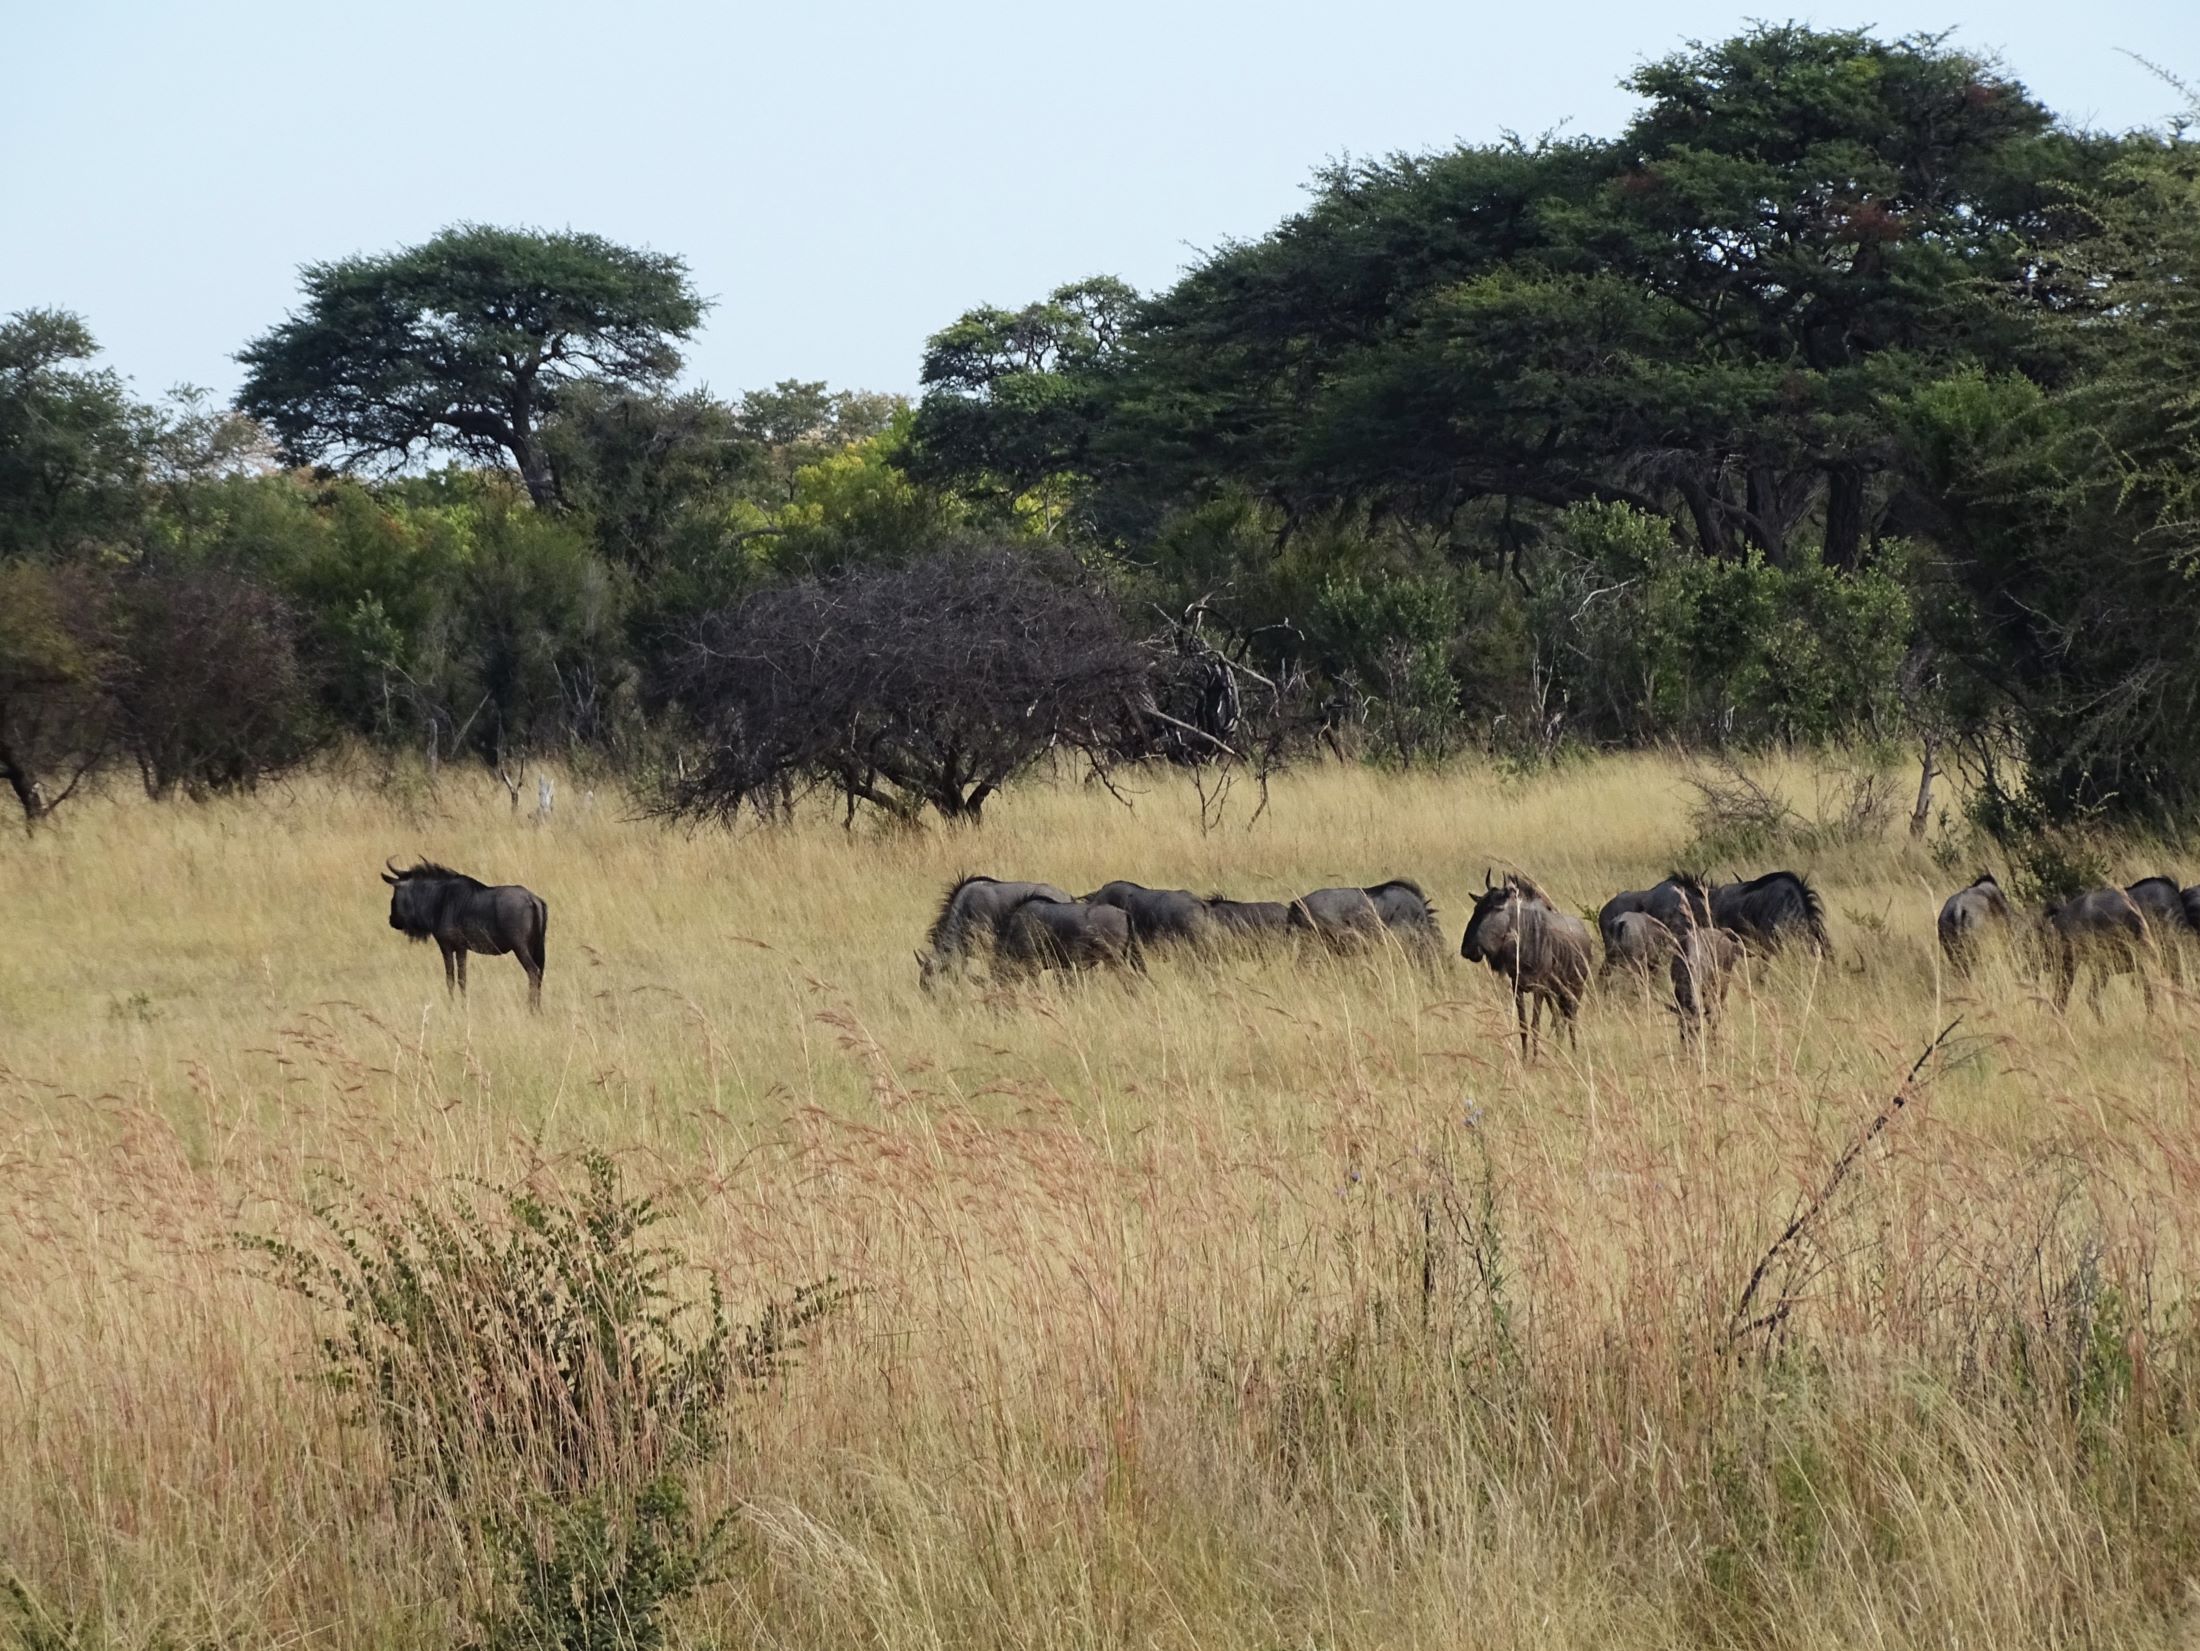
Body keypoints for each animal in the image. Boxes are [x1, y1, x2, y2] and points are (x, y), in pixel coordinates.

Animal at [382, 867, 545, 1008]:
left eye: (394, 896)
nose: (391, 920)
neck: (440, 900)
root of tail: (532, 899)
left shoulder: (448, 946)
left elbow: (451, 978)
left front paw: (453, 1006)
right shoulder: (462, 949)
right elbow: (463, 978)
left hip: (520, 948)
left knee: (533, 971)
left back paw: (530, 1008)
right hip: (535, 947)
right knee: (540, 972)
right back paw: (538, 1009)